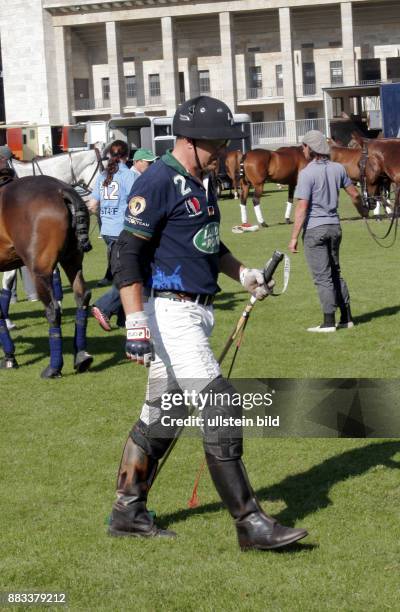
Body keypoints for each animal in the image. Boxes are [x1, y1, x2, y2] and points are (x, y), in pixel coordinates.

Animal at [0, 175, 93, 378]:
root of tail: (61, 190)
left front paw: (10, 356)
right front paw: (10, 356)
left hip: (40, 271)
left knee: (52, 310)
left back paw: (54, 368)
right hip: (72, 260)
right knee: (81, 297)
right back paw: (82, 356)